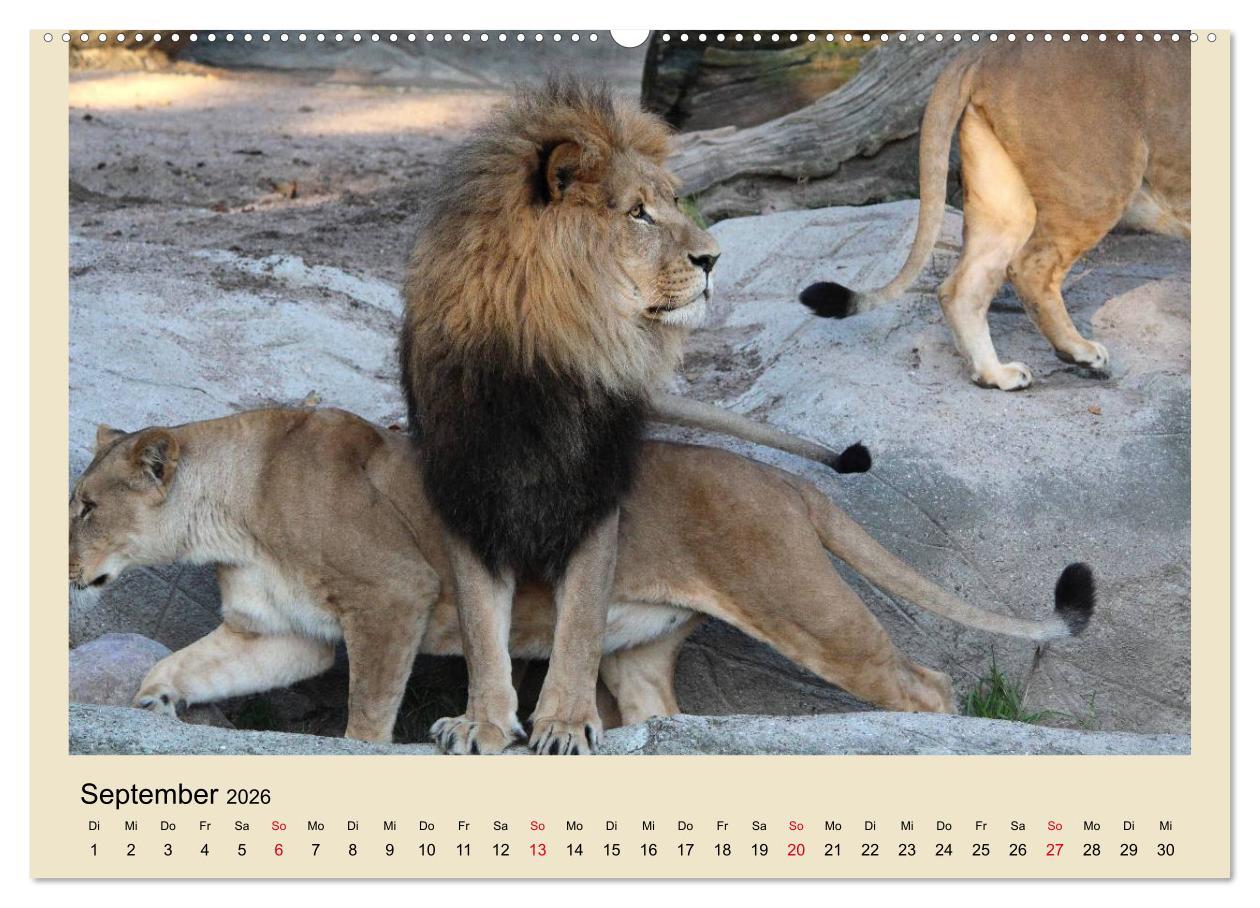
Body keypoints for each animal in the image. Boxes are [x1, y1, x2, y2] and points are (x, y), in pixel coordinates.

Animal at [69, 408, 1095, 746]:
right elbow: (183, 664)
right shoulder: (273, 631)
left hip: (801, 604)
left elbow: (368, 708)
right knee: (659, 712)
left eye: (82, 505)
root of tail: (788, 484)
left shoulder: (391, 596)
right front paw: (154, 705)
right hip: (637, 646)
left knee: (925, 681)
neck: (229, 510)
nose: (65, 560)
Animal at [399, 78, 733, 755]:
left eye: (674, 200)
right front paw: (482, 721)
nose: (714, 259)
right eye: (637, 213)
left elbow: (579, 623)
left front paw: (565, 722)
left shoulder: (593, 494)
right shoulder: (470, 493)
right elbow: (480, 627)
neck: (544, 357)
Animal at [799, 38, 1190, 390]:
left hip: (1005, 203)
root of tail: (989, 46)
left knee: (961, 287)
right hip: (1098, 184)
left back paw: (996, 375)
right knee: (1029, 268)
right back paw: (1078, 352)